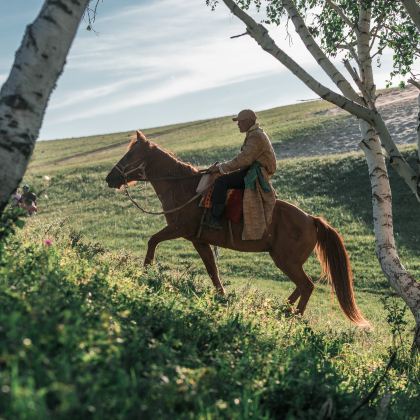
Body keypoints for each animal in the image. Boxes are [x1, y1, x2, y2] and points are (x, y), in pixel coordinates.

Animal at [106, 130, 370, 326]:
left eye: (129, 155)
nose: (110, 178)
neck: (185, 189)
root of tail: (312, 219)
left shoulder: (179, 229)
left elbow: (152, 240)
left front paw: (145, 270)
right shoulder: (198, 240)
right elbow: (212, 270)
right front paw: (221, 296)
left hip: (286, 261)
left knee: (307, 285)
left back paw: (291, 316)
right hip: (286, 261)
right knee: (301, 286)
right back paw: (281, 309)